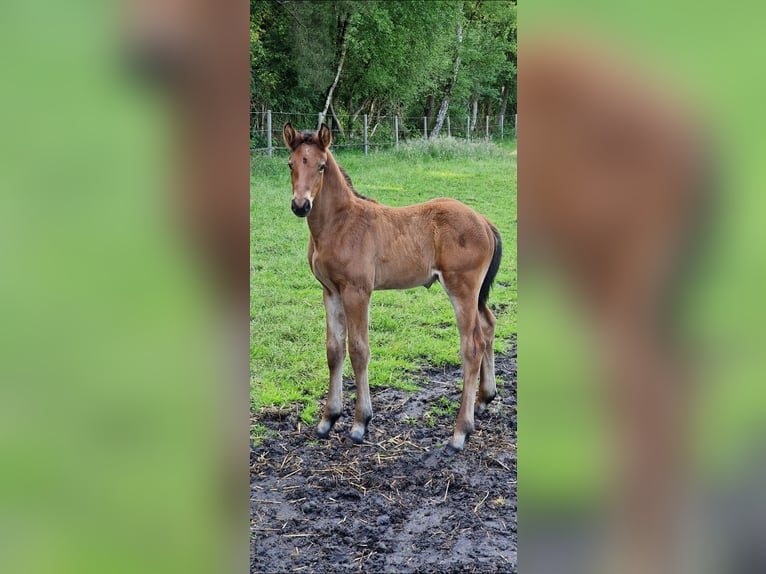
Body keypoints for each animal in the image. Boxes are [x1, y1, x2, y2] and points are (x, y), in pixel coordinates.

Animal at [282, 122, 503, 452]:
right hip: (475, 293)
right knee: (488, 325)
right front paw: (327, 420)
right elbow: (334, 350)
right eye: (291, 164)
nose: (300, 205)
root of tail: (484, 221)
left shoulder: (357, 291)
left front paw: (360, 424)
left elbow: (358, 350)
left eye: (321, 166)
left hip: (462, 288)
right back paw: (484, 399)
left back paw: (460, 432)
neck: (339, 224)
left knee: (472, 345)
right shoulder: (330, 291)